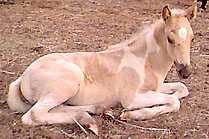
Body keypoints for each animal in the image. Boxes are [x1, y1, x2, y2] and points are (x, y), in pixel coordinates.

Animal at [7, 1, 198, 134]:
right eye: (169, 39)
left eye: (192, 38)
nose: (185, 72)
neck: (145, 62)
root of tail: (22, 78)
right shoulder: (131, 98)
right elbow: (174, 101)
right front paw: (131, 114)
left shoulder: (156, 88)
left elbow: (182, 89)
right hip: (68, 82)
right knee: (34, 115)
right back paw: (88, 120)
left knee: (55, 109)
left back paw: (96, 110)